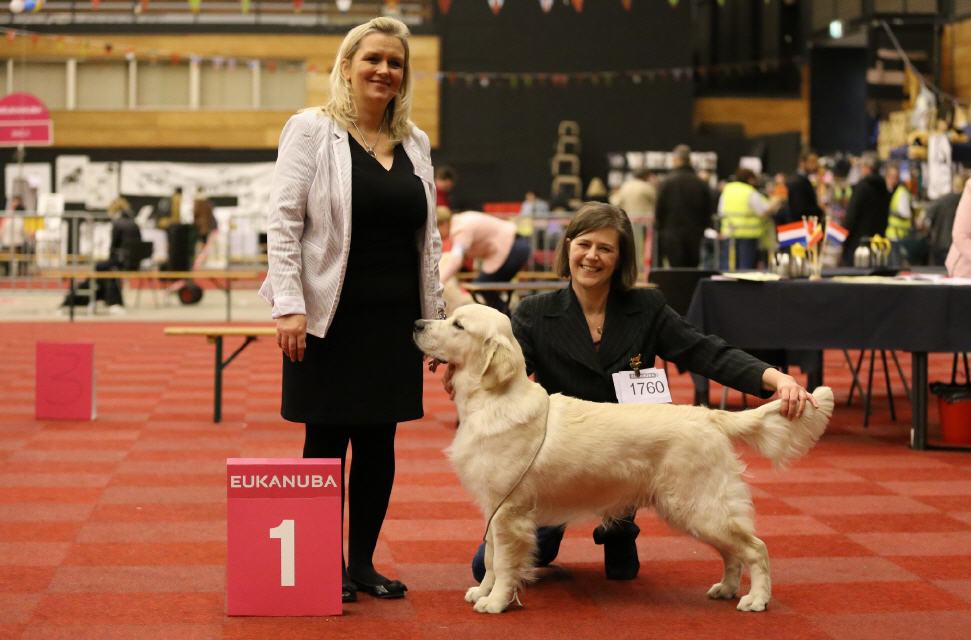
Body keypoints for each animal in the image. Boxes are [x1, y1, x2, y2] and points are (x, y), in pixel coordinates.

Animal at [412, 304, 836, 616]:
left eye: (458, 324)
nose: (416, 323)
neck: (492, 399)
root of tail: (709, 416)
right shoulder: (494, 508)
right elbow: (490, 557)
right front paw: (482, 592)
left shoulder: (509, 512)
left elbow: (502, 562)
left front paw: (497, 602)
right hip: (696, 509)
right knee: (734, 551)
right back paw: (727, 588)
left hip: (699, 505)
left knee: (756, 547)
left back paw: (757, 598)